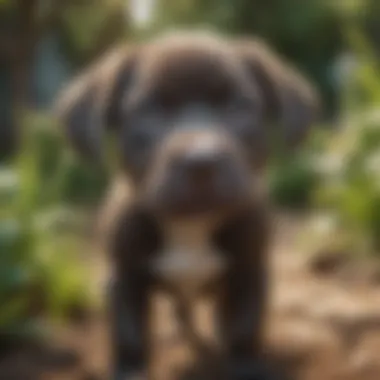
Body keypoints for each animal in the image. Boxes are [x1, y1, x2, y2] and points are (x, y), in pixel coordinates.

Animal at [54, 31, 320, 378]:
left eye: (236, 105)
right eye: (152, 109)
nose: (201, 160)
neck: (191, 223)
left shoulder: (248, 270)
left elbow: (243, 328)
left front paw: (245, 366)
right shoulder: (124, 278)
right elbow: (130, 334)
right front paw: (131, 370)